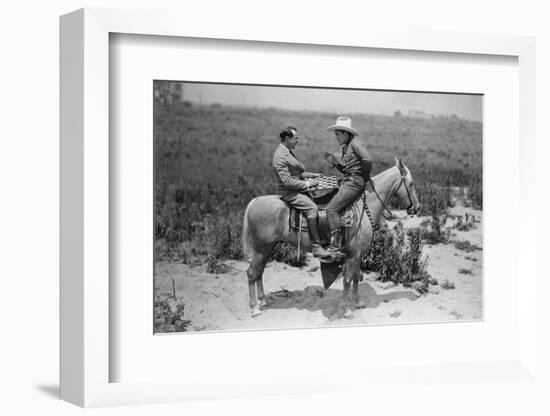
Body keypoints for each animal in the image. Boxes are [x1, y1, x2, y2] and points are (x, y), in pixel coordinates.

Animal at [243, 157, 422, 318]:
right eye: (411, 183)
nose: (417, 208)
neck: (364, 207)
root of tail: (255, 201)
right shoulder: (353, 254)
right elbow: (348, 279)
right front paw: (346, 309)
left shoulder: (358, 254)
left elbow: (356, 277)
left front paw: (357, 302)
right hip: (261, 248)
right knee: (252, 273)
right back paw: (254, 308)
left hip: (268, 247)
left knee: (259, 271)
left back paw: (263, 300)